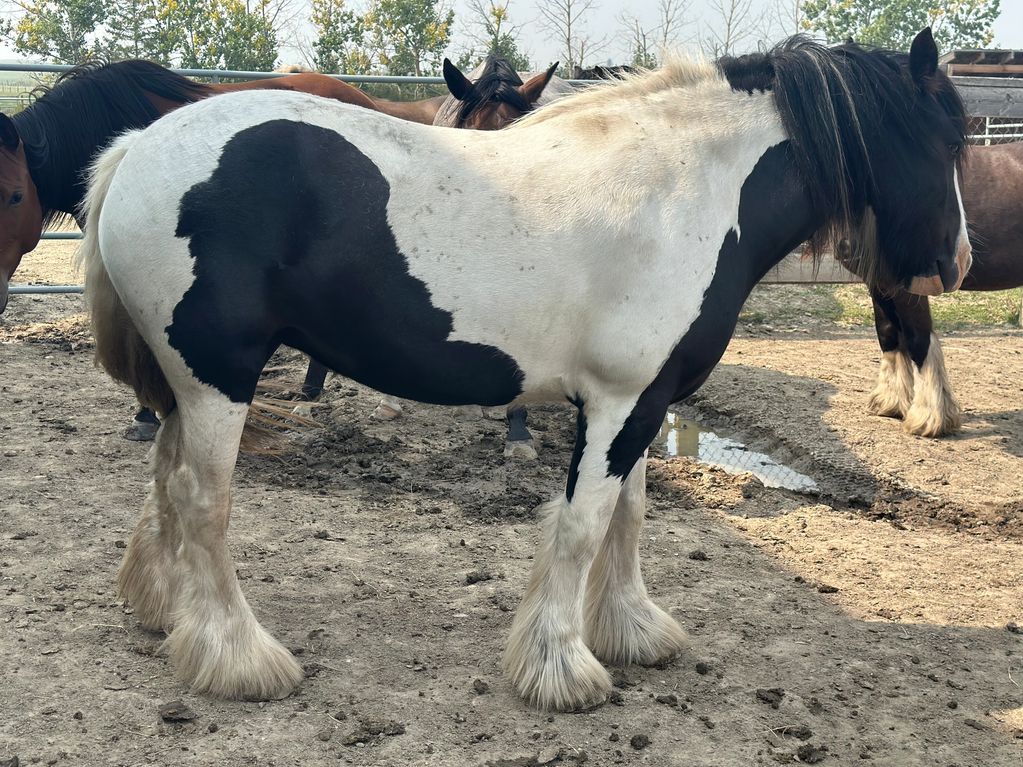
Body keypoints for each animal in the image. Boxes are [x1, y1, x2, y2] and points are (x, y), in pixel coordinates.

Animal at [77, 29, 968, 711]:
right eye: (946, 141)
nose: (955, 262)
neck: (681, 194)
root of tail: (137, 148)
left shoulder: (641, 401)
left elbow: (628, 518)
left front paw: (633, 630)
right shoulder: (615, 404)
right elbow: (580, 525)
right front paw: (561, 669)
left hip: (185, 385)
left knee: (165, 481)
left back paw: (164, 612)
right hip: (217, 378)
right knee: (202, 502)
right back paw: (239, 657)